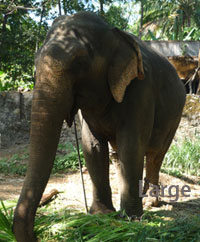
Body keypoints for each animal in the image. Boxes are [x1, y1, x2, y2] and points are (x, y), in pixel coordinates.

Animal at [13, 11, 186, 242]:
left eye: (79, 62)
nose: (39, 234)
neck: (114, 33)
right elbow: (92, 146)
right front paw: (101, 215)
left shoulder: (141, 90)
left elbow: (132, 145)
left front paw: (130, 219)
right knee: (118, 155)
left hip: (176, 114)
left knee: (155, 154)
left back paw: (151, 201)